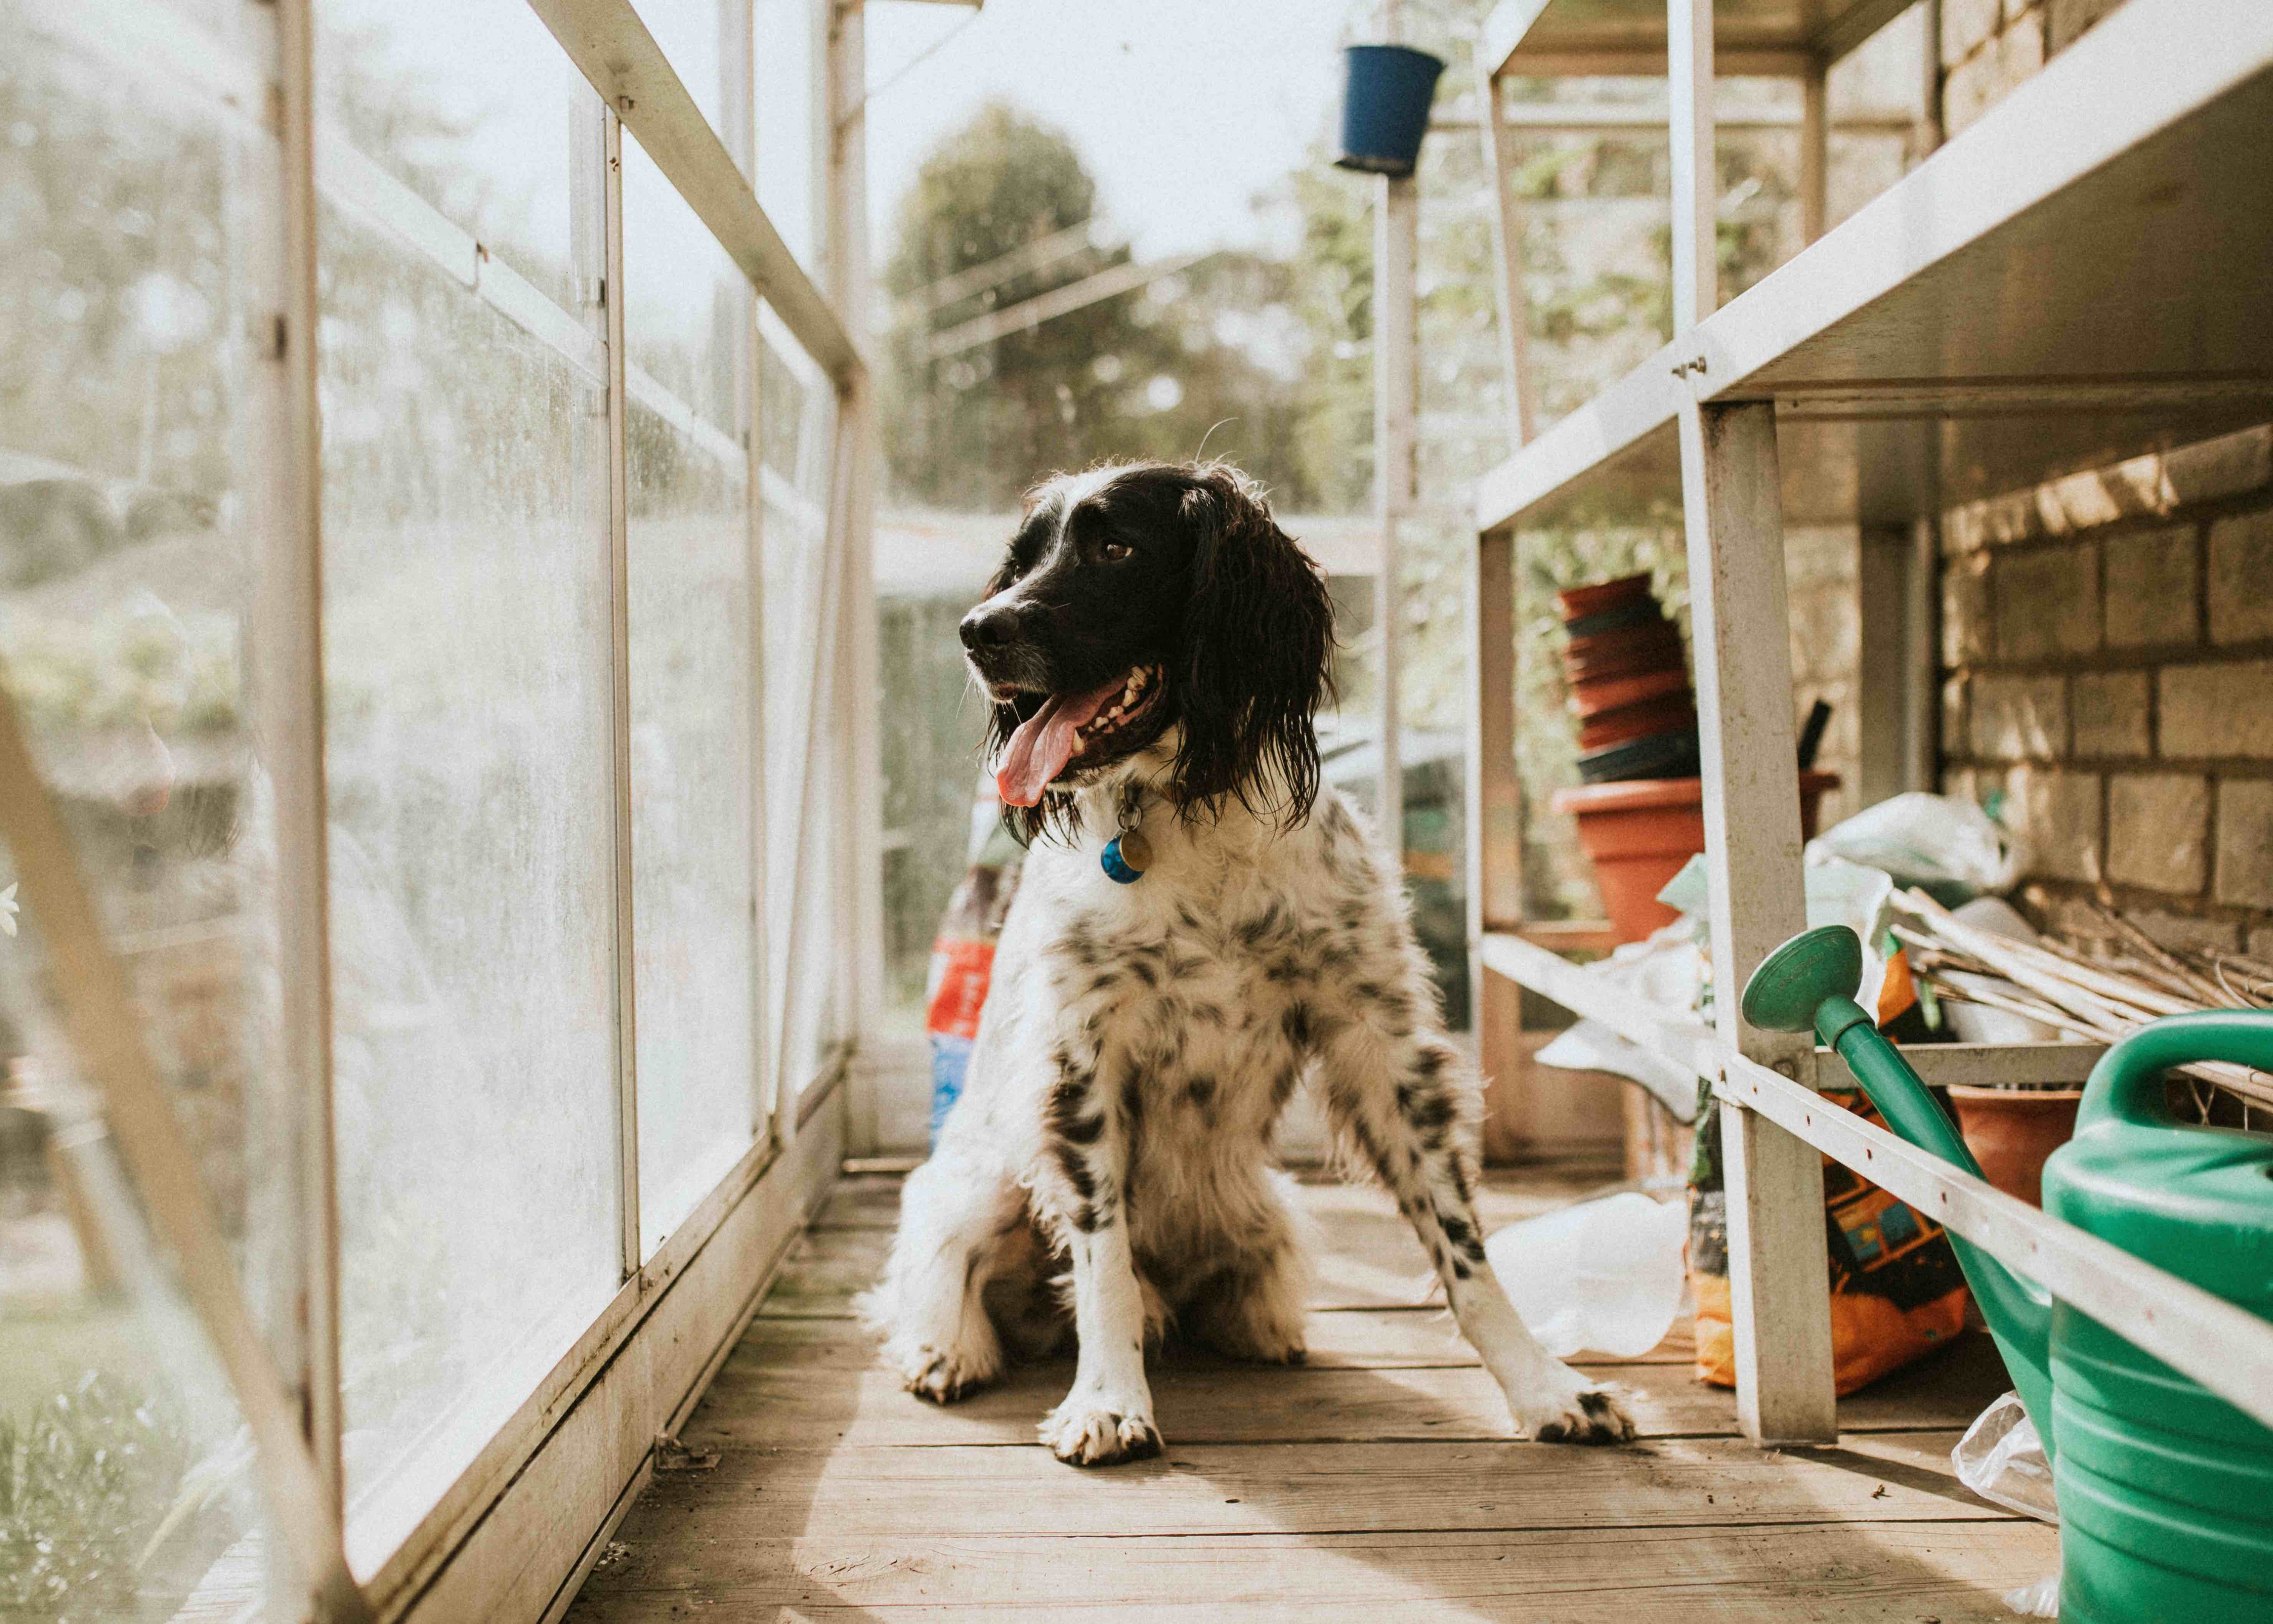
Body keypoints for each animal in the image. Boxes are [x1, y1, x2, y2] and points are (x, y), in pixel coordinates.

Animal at [855, 461, 1637, 1464]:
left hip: (1269, 1212)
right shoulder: (1079, 1063)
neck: (1192, 817)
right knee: (951, 1277)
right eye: (1021, 559)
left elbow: (1462, 1247)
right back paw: (946, 1351)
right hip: (985, 1181)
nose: (977, 629)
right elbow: (1102, 1259)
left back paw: (1259, 1331)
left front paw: (1547, 1387)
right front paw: (1108, 1400)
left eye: (1115, 546)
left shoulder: (1380, 1047)